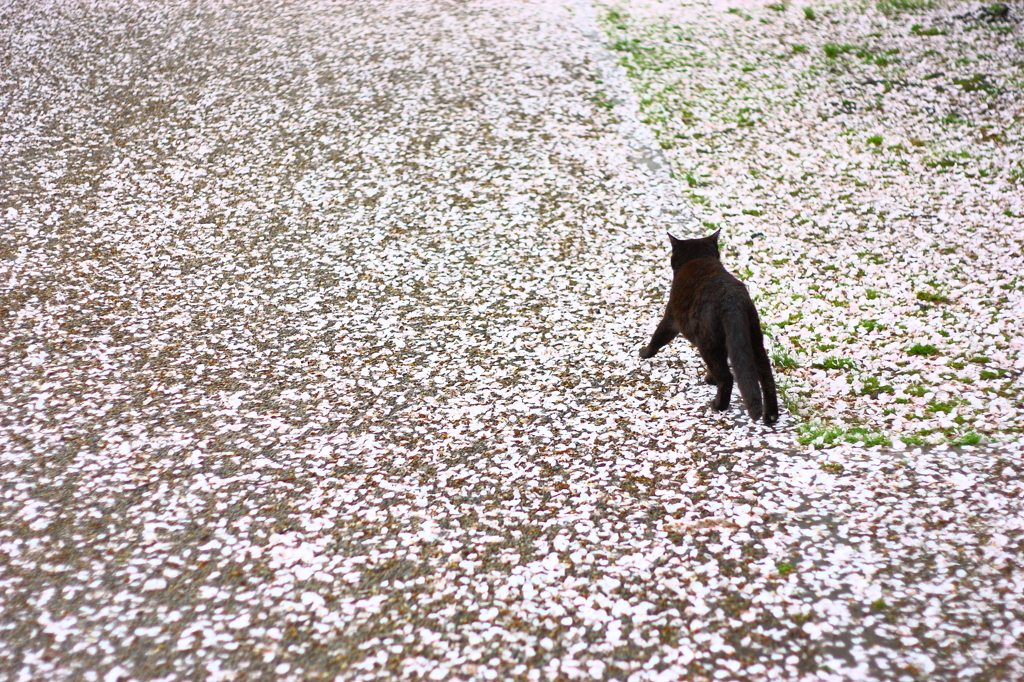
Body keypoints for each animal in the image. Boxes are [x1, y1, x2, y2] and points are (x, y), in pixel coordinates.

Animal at [634, 231, 778, 421]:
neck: (699, 258)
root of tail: (732, 301)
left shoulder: (671, 318)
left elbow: (657, 338)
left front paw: (644, 353)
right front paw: (710, 378)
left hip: (708, 343)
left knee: (727, 377)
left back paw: (718, 405)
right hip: (752, 338)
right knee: (766, 375)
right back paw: (770, 417)